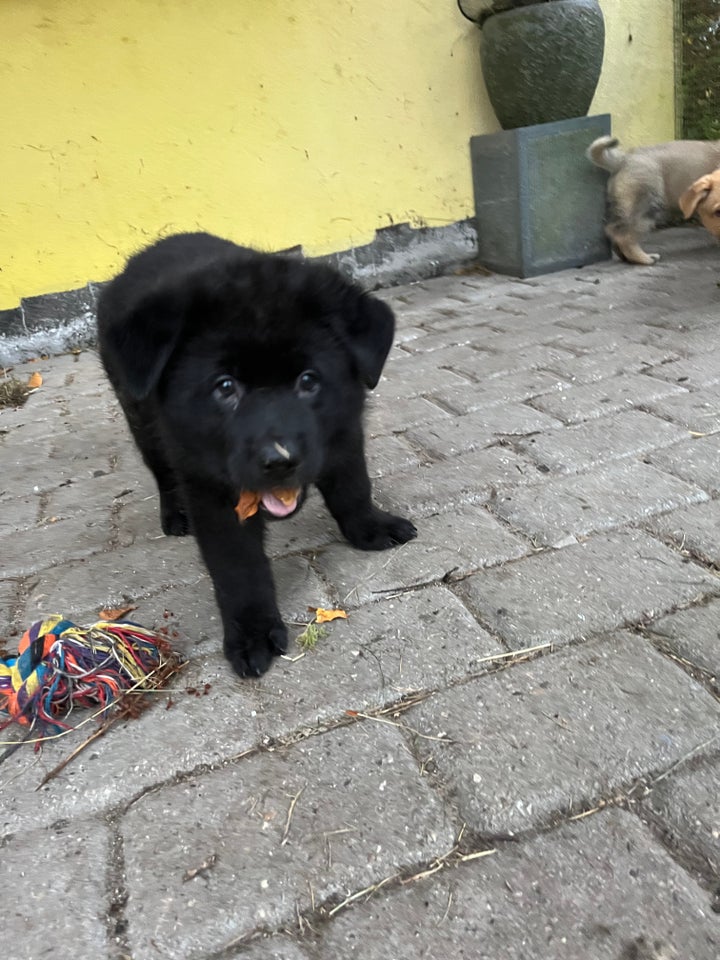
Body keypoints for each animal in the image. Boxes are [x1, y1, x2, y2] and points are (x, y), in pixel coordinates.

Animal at [98, 234, 420, 676]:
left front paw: (370, 526)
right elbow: (237, 565)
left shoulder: (342, 430)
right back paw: (175, 514)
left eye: (308, 380)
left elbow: (352, 484)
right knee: (162, 471)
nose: (280, 461)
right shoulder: (208, 484)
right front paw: (252, 631)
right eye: (225, 386)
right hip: (140, 418)